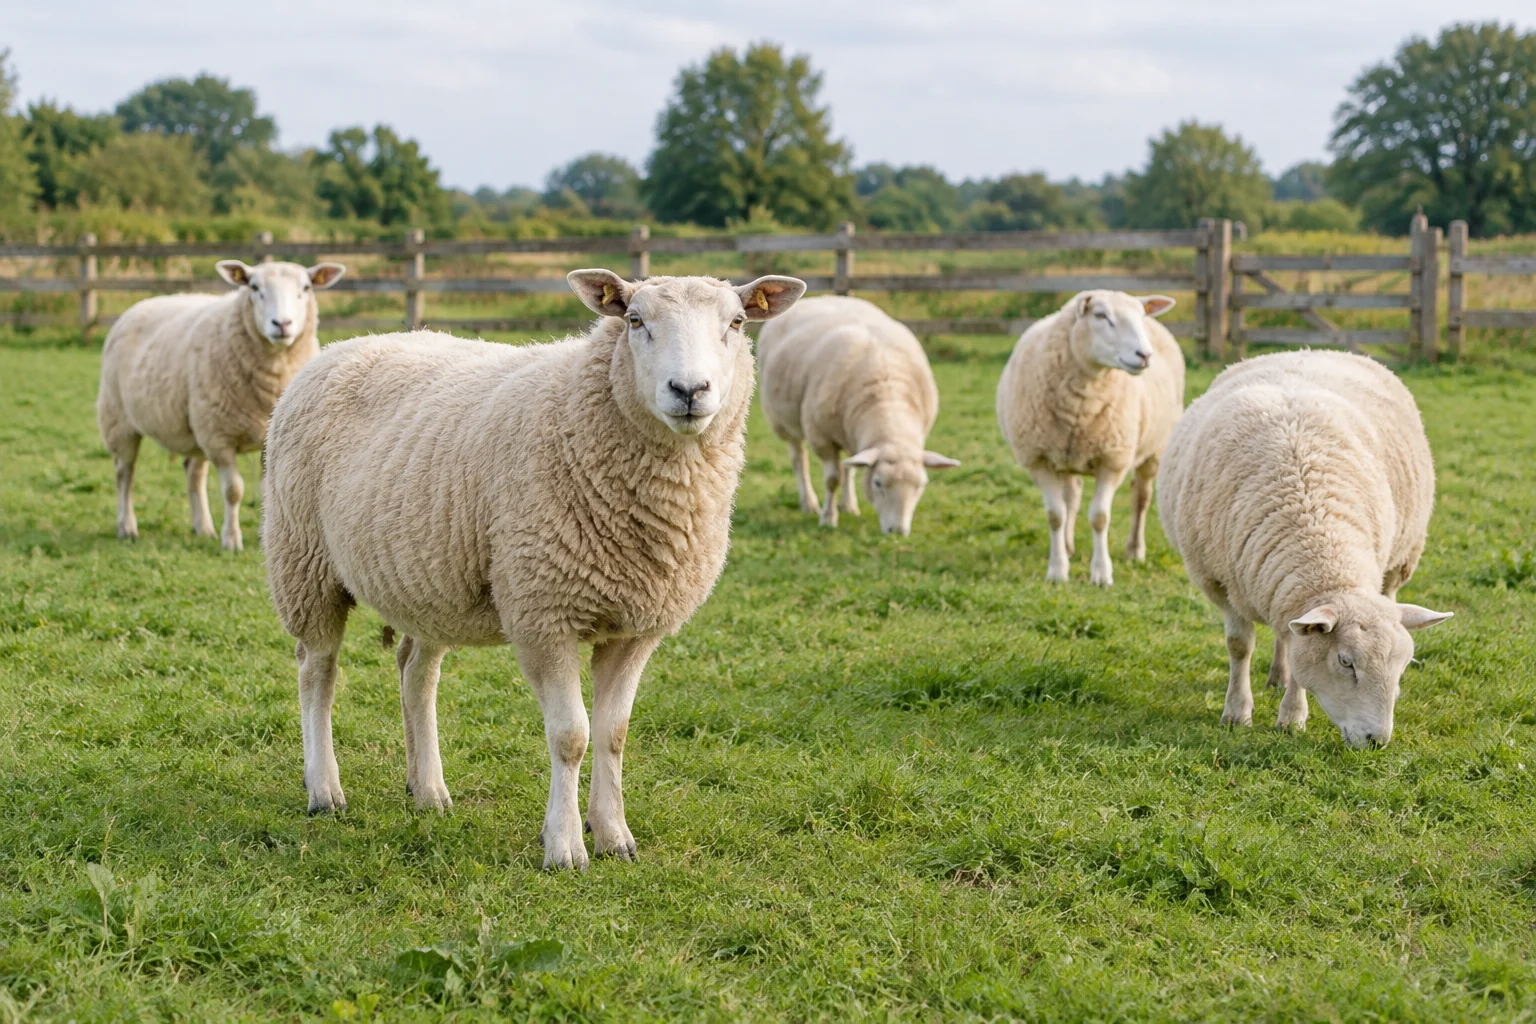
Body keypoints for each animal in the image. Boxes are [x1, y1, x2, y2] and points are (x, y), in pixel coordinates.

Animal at [96, 259, 346, 551]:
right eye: (254, 287)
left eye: (306, 287)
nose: (282, 324)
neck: (275, 373)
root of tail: (143, 303)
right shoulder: (219, 438)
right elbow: (233, 490)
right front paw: (232, 540)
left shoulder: (265, 440)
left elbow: (265, 493)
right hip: (119, 419)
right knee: (125, 473)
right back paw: (127, 527)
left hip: (195, 426)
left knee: (193, 473)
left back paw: (203, 527)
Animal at [261, 270, 806, 870]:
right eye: (634, 320)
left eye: (737, 322)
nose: (689, 391)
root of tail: (346, 346)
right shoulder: (544, 613)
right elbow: (571, 735)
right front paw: (565, 846)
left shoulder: (637, 628)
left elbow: (614, 733)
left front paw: (613, 834)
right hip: (303, 560)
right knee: (318, 670)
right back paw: (324, 790)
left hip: (428, 578)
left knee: (416, 674)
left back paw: (427, 790)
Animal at [755, 295, 959, 536]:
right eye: (878, 483)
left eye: (920, 486)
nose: (897, 532)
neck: (886, 394)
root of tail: (817, 297)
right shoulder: (821, 438)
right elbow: (833, 479)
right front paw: (828, 518)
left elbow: (850, 469)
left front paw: (847, 506)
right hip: (783, 421)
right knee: (799, 460)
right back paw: (810, 503)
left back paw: (848, 504)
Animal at [995, 290, 1184, 586]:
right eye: (1100, 315)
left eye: (1140, 316)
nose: (1144, 355)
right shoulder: (1039, 459)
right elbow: (1055, 515)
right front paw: (1057, 570)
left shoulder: (1112, 460)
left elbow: (1100, 517)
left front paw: (1101, 573)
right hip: (1066, 454)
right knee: (1072, 496)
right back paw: (1068, 545)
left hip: (1155, 449)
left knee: (1141, 498)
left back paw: (1135, 550)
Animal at [1156, 350, 1453, 747]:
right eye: (1345, 662)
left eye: (1403, 665)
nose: (1377, 741)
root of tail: (1308, 350)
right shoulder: (1218, 582)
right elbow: (1239, 646)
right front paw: (1237, 712)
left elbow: (1300, 659)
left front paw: (1291, 717)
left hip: (1399, 561)